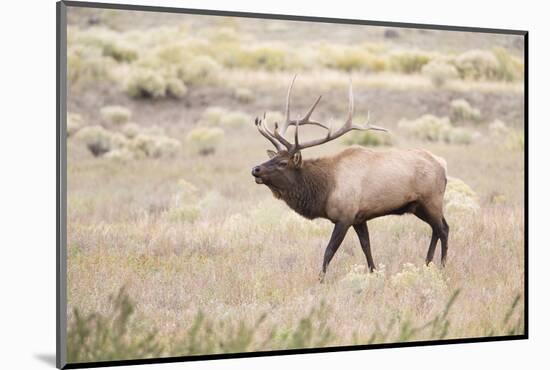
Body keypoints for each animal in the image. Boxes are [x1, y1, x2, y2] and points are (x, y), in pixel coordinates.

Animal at [252, 76, 450, 282]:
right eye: (272, 157)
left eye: (283, 162)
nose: (255, 169)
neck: (324, 189)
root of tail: (442, 164)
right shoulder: (359, 218)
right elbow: (366, 247)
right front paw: (373, 273)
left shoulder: (344, 217)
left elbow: (329, 251)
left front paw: (320, 280)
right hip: (418, 206)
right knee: (437, 229)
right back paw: (427, 263)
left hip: (432, 200)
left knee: (443, 229)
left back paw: (442, 267)